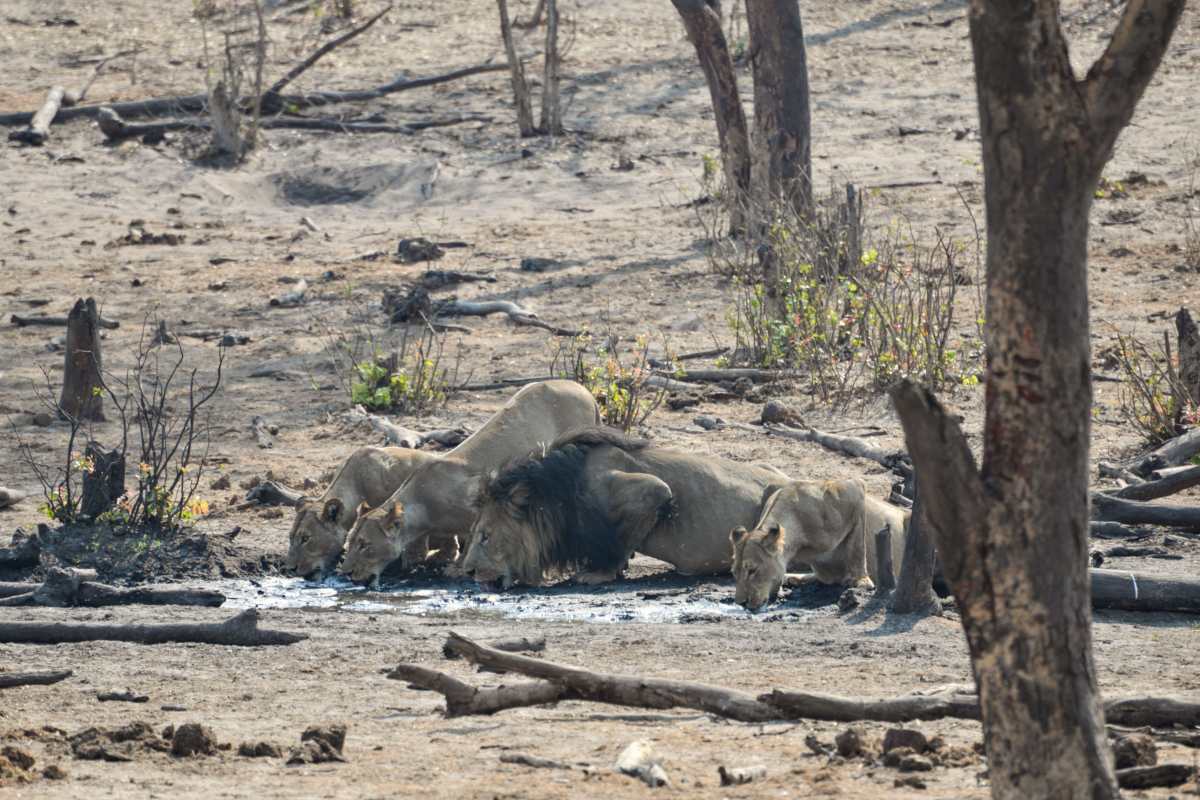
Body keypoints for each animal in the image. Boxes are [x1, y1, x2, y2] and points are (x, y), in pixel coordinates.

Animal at [338, 381, 600, 587]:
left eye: (364, 544)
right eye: (350, 543)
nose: (347, 572)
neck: (422, 507)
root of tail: (584, 389)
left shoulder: (477, 508)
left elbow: (473, 537)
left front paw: (458, 567)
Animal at [729, 479, 907, 609]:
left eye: (752, 570)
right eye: (734, 573)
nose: (741, 603)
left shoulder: (854, 490)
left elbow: (858, 547)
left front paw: (861, 581)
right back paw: (793, 577)